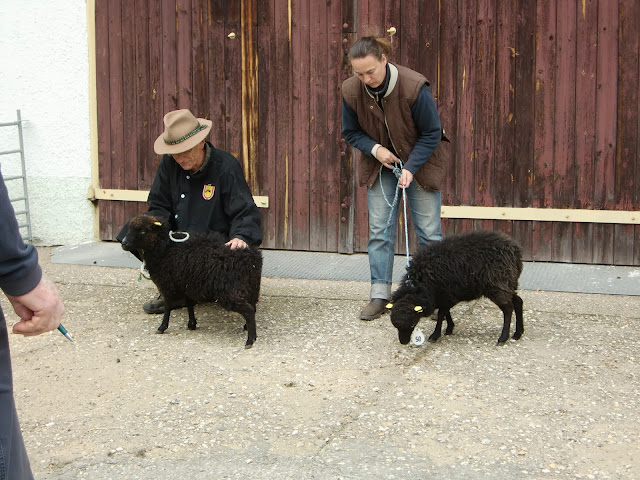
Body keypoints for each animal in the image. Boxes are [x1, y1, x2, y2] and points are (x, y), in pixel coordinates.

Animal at [121, 214, 263, 348]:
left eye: (143, 231)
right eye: (129, 229)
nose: (123, 243)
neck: (165, 248)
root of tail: (252, 258)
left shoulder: (167, 284)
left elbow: (168, 307)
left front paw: (162, 327)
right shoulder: (186, 284)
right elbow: (189, 304)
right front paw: (191, 324)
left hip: (229, 291)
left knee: (249, 310)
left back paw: (250, 340)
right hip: (252, 289)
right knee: (253, 307)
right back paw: (248, 328)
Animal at [387, 230, 524, 345]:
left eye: (413, 325)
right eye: (395, 326)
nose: (403, 342)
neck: (421, 283)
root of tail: (515, 250)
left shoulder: (446, 295)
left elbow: (441, 314)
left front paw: (435, 335)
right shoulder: (444, 295)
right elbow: (446, 312)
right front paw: (449, 328)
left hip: (498, 284)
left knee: (508, 308)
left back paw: (503, 338)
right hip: (508, 283)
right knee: (518, 302)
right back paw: (518, 333)